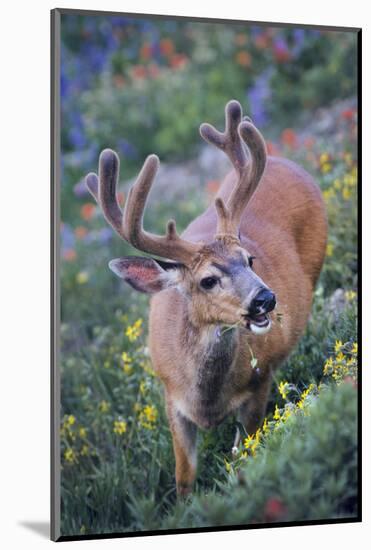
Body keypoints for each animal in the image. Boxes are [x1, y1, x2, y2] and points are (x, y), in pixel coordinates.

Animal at [85, 100, 326, 500]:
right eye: (208, 280)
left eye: (250, 259)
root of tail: (283, 161)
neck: (208, 400)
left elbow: (243, 453)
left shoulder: (260, 383)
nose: (265, 298)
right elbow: (184, 475)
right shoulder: (170, 396)